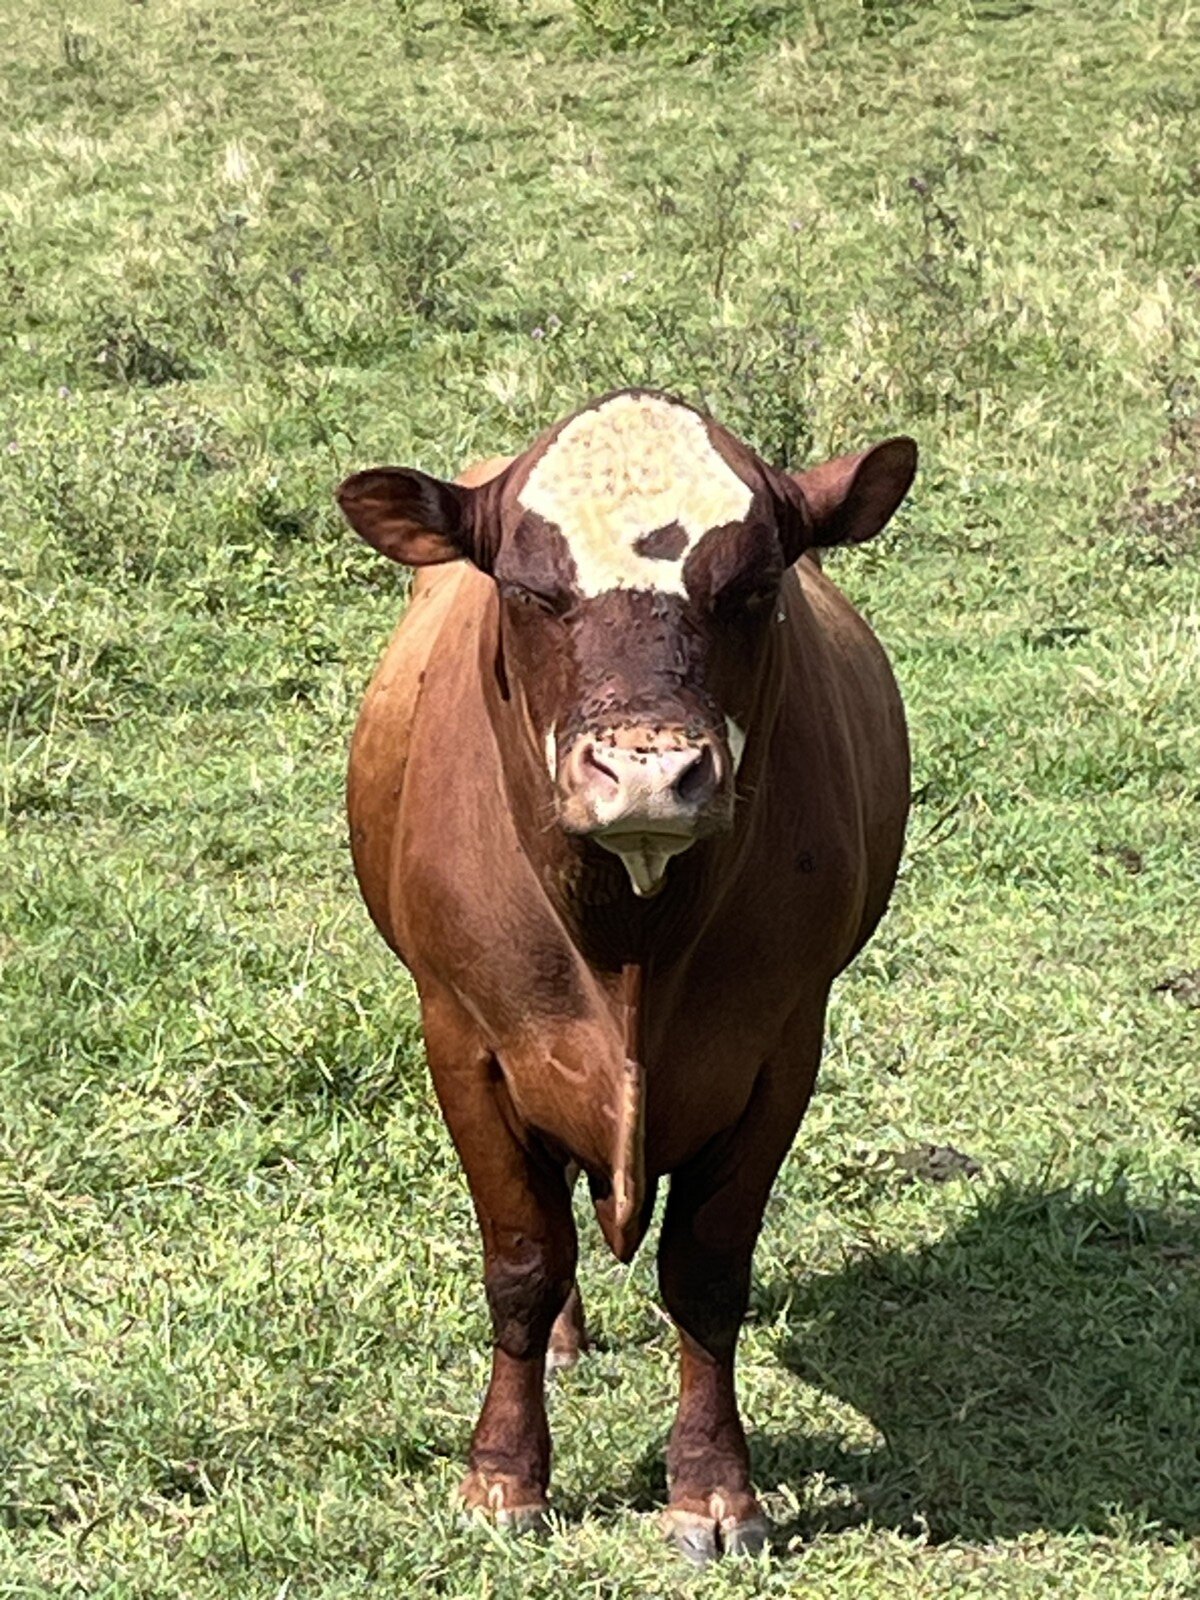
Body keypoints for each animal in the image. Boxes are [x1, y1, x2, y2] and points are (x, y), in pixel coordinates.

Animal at [337, 389, 916, 1561]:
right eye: (526, 589)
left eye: (752, 588)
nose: (648, 770)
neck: (630, 944)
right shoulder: (463, 1038)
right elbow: (522, 1259)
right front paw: (504, 1475)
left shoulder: (782, 1046)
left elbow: (708, 1272)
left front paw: (715, 1489)